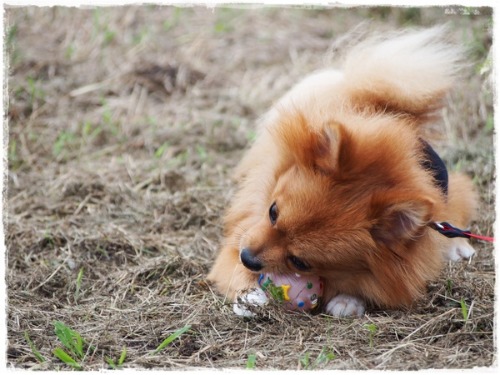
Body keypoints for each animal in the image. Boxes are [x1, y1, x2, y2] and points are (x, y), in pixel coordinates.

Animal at [206, 27, 476, 318]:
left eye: (299, 262)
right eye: (272, 212)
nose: (247, 257)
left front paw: (348, 299)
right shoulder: (238, 236)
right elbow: (233, 268)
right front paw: (250, 296)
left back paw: (459, 245)